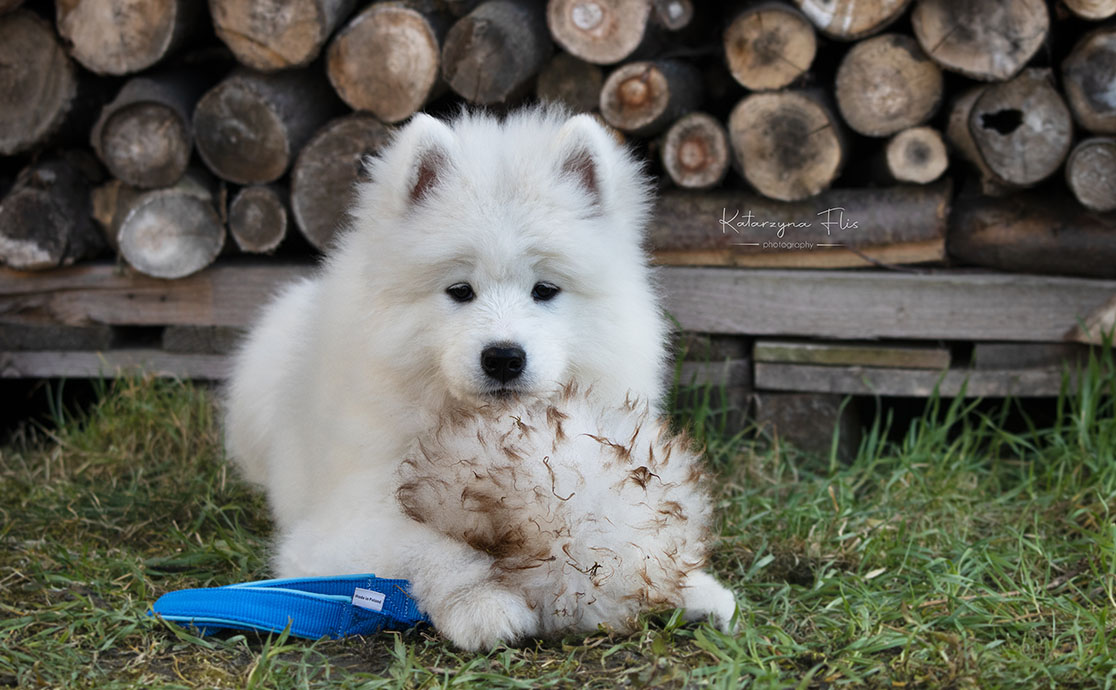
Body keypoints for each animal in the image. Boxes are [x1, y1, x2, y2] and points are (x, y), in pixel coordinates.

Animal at [223, 104, 736, 647]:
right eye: (460, 290)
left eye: (544, 289)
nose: (504, 358)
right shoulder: (338, 528)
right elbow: (429, 544)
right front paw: (481, 604)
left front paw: (692, 586)